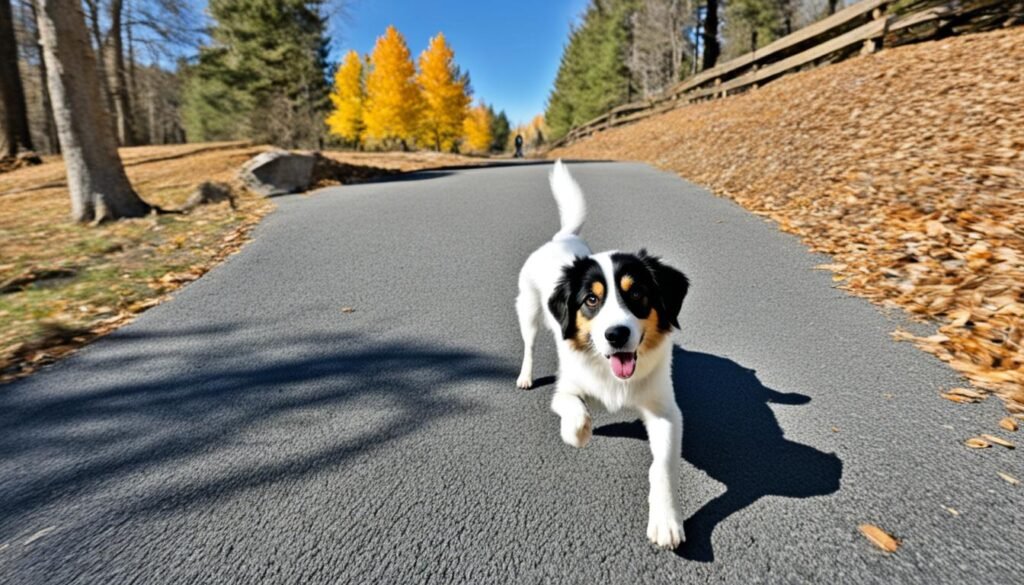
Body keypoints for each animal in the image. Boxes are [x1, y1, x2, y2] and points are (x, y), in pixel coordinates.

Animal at [516, 158, 692, 549]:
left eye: (637, 292)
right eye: (592, 299)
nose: (616, 334)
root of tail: (560, 238)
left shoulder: (666, 411)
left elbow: (661, 467)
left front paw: (666, 520)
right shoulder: (565, 390)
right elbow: (576, 411)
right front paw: (578, 434)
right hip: (529, 312)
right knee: (529, 346)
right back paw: (525, 375)